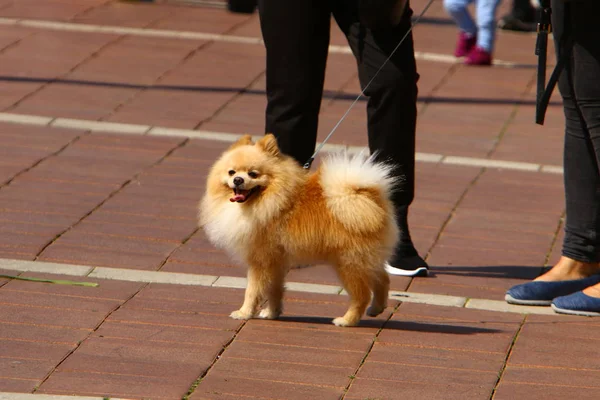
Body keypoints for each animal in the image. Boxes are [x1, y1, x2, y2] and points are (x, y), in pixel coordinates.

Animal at [199, 133, 400, 326]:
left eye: (253, 174)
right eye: (231, 172)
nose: (238, 180)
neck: (270, 198)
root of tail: (368, 197)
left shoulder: (260, 260)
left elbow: (252, 290)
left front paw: (244, 312)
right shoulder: (276, 262)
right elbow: (274, 290)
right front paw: (272, 313)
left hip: (348, 263)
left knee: (362, 295)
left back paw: (346, 320)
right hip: (367, 259)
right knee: (383, 278)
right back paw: (376, 308)